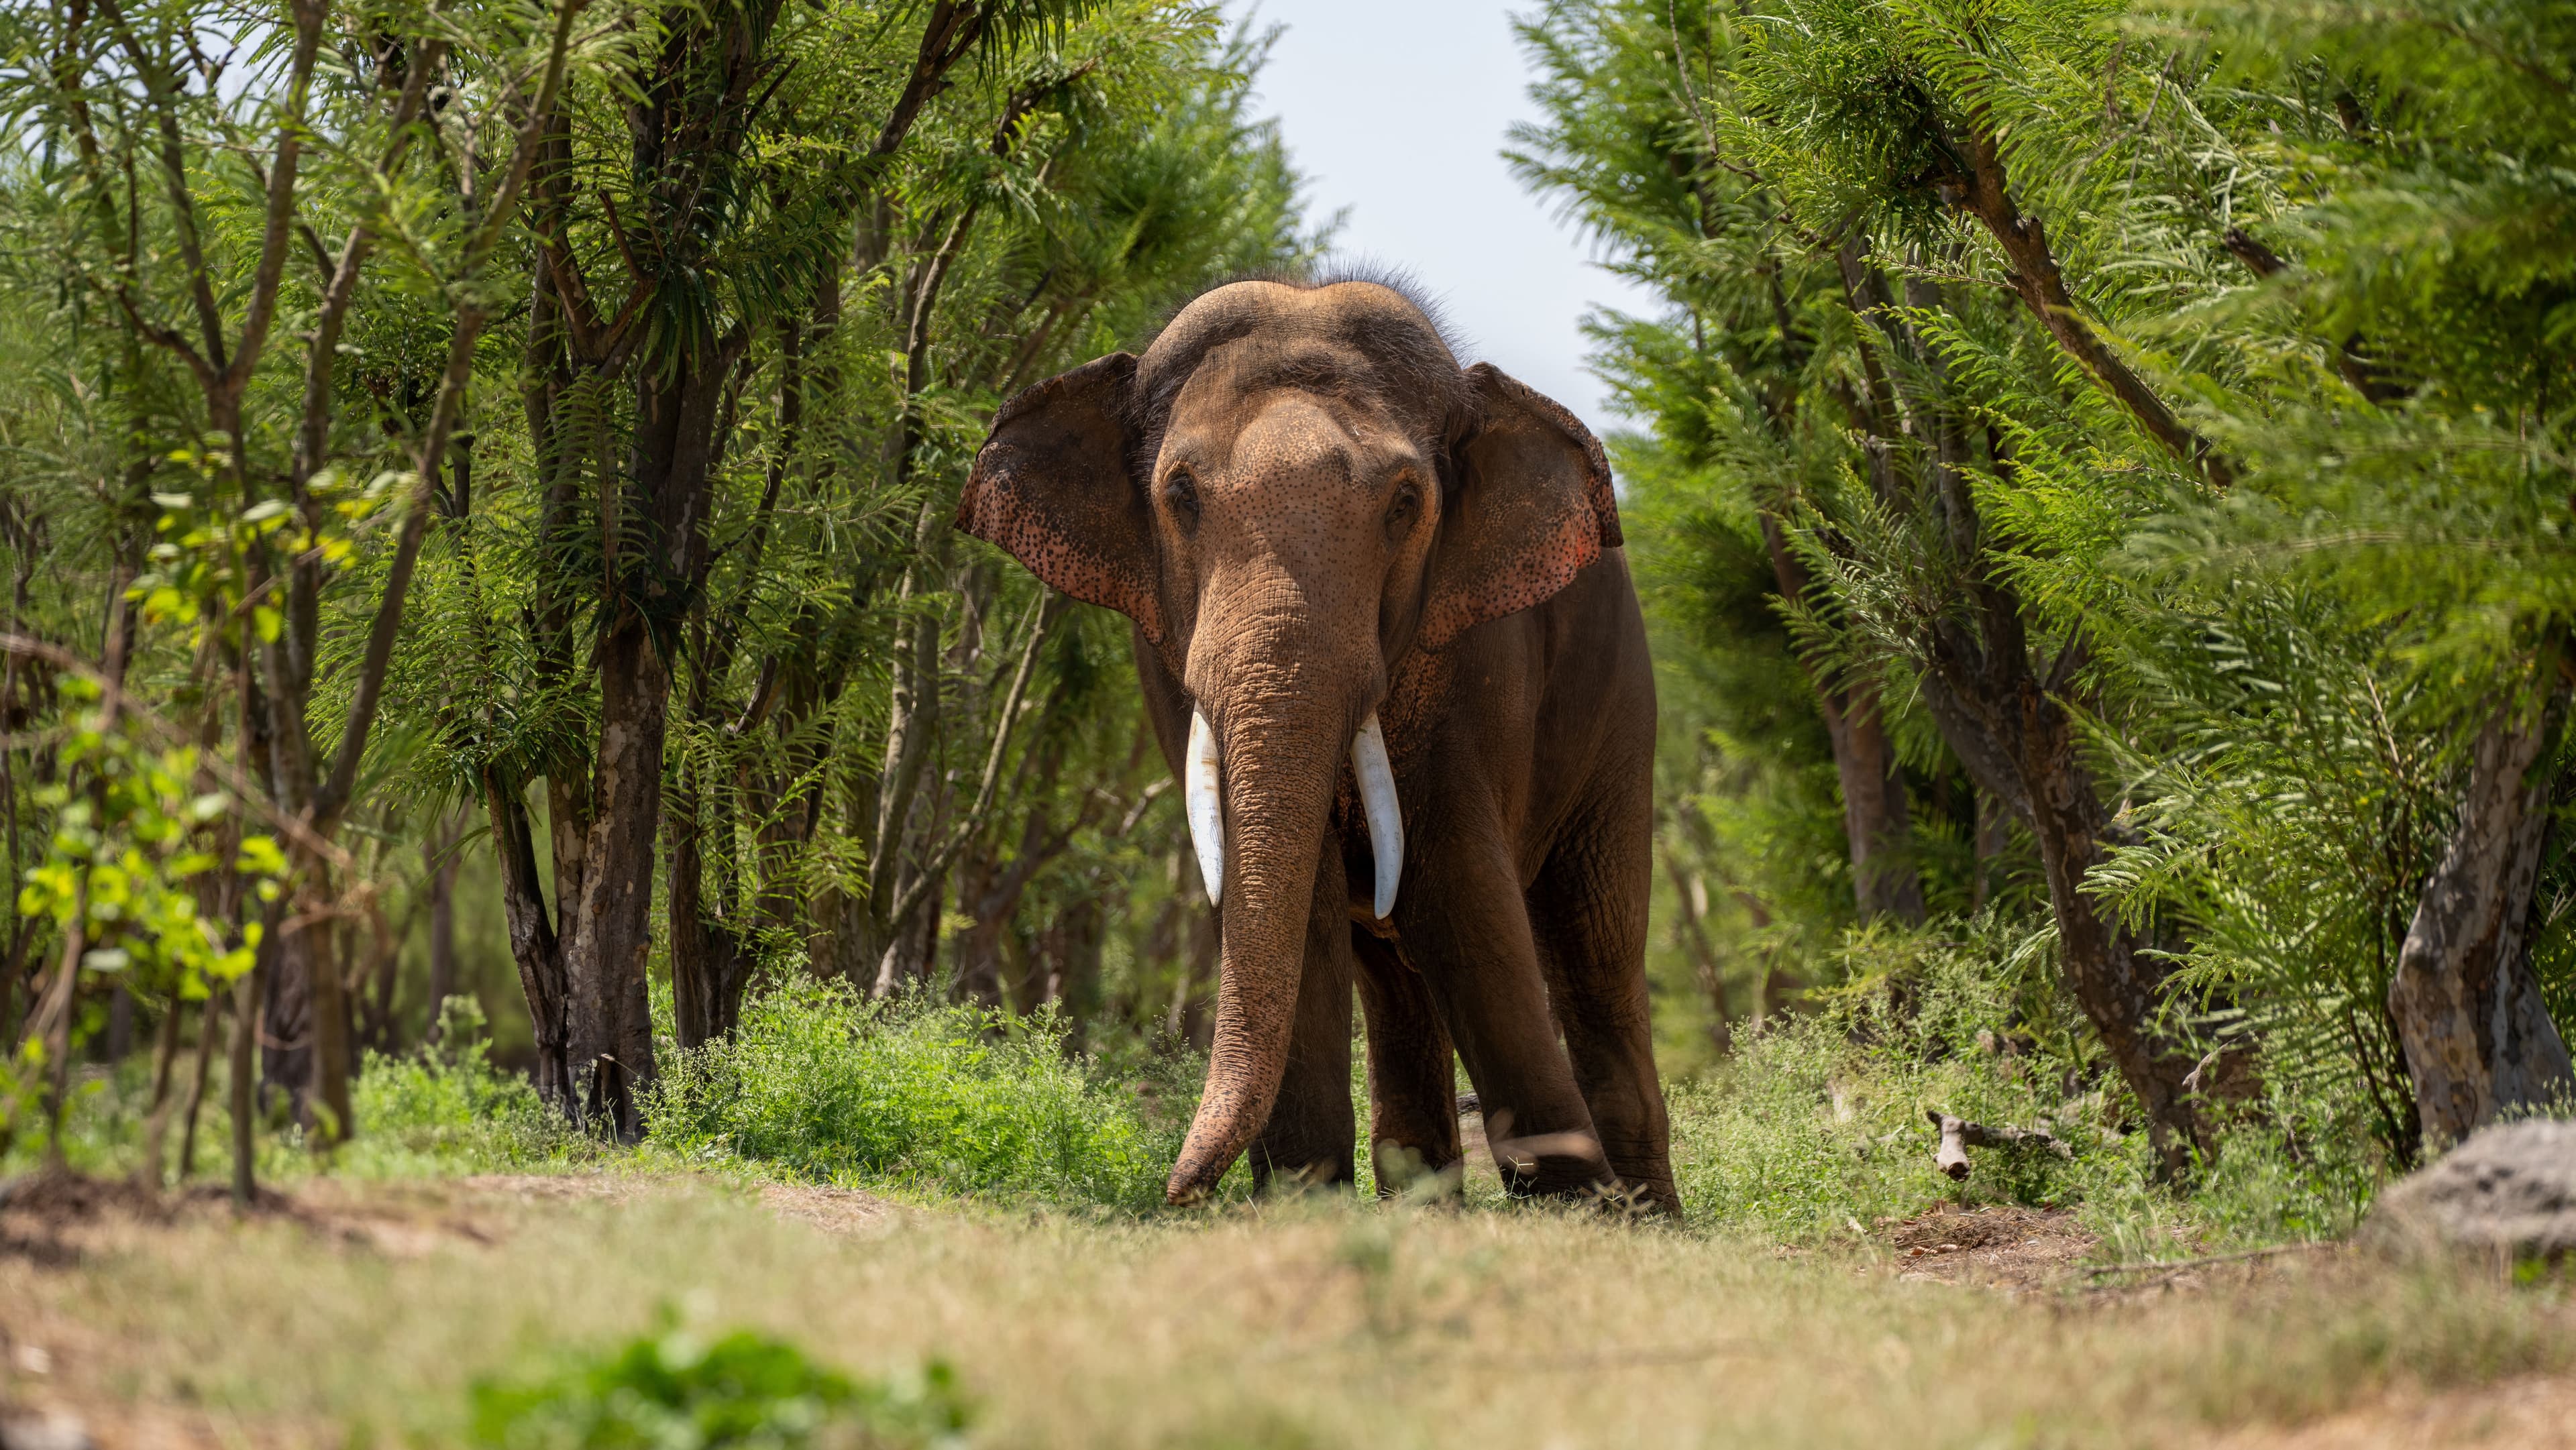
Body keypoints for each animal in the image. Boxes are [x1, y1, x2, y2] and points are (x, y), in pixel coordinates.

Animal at [956, 277, 1677, 1213]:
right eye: (1180, 495)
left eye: (1406, 503)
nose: (1175, 1190)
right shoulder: (1163, 653)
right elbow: (1311, 905)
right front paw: (1304, 1201)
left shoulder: (1476, 647)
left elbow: (1455, 879)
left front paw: (1573, 1206)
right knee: (1398, 973)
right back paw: (1428, 1202)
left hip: (1624, 711)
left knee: (1596, 949)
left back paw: (1647, 1217)